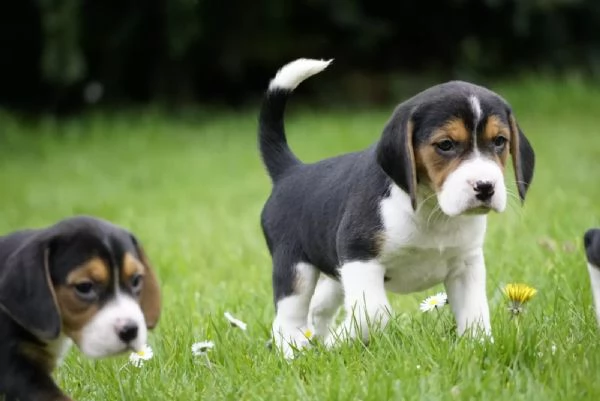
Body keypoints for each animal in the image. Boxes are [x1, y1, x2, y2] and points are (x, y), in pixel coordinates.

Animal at [258, 57, 536, 356]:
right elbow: (373, 314)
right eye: (445, 144)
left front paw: (478, 347)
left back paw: (316, 339)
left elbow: (476, 315)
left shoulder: (466, 265)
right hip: (295, 268)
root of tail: (290, 171)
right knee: (287, 319)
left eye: (499, 141)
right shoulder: (360, 257)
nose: (485, 187)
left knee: (318, 307)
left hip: (335, 273)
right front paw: (338, 342)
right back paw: (295, 350)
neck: (431, 210)